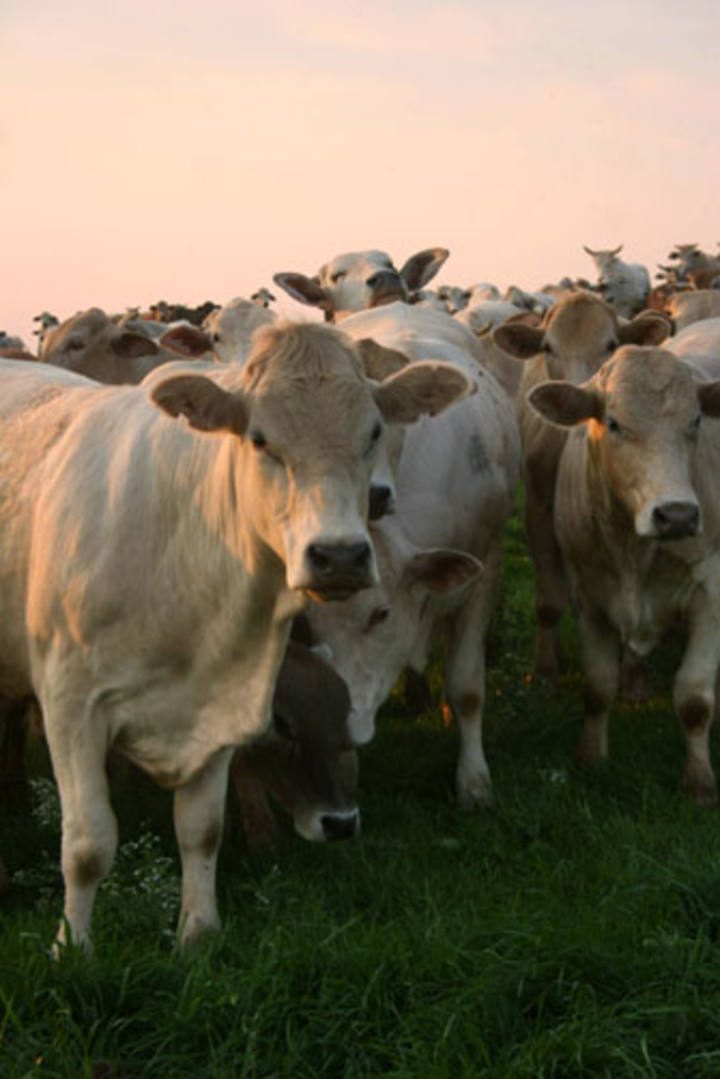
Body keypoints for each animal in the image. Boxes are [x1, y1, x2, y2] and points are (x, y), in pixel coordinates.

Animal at [0, 321, 472, 953]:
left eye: (374, 431)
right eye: (259, 438)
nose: (340, 556)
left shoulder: (222, 694)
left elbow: (202, 829)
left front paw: (198, 934)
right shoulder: (70, 705)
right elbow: (87, 844)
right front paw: (72, 948)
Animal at [295, 302, 520, 811]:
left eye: (380, 614)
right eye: (305, 623)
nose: (336, 720)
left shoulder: (486, 567)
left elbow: (467, 685)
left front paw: (474, 781)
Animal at [526, 345, 720, 802]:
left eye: (696, 421)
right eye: (613, 423)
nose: (678, 515)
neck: (633, 550)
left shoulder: (710, 594)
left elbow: (694, 699)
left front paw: (700, 781)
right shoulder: (588, 594)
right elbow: (597, 686)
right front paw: (591, 758)